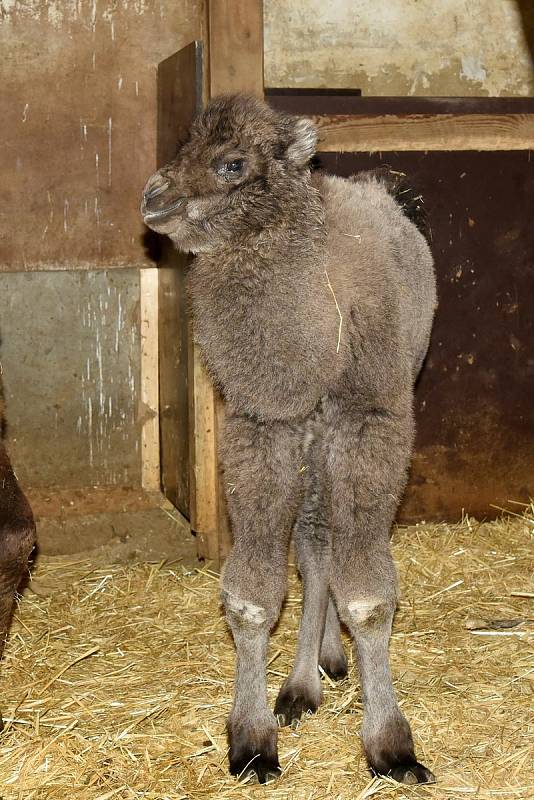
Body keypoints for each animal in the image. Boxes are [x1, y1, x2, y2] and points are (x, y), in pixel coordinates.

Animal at [143, 95, 440, 788]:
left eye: (232, 163)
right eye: (183, 147)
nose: (154, 197)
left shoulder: (367, 422)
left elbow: (369, 599)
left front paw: (391, 745)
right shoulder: (267, 425)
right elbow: (254, 597)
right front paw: (253, 738)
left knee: (325, 544)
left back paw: (323, 668)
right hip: (311, 447)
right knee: (314, 546)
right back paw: (307, 680)